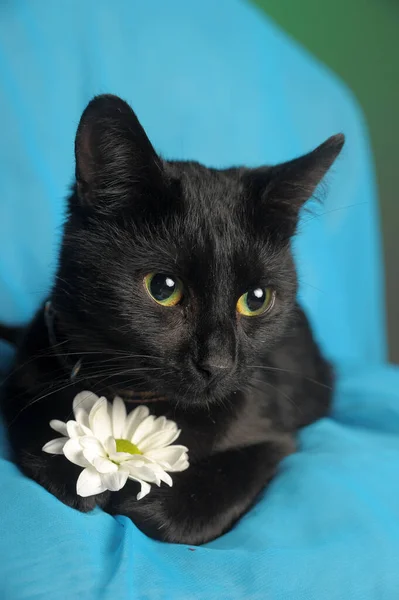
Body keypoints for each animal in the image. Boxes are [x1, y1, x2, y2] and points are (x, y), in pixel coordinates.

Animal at [0, 94, 344, 544]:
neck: (142, 401)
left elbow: (229, 478)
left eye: (256, 299)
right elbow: (35, 418)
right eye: (162, 288)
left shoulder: (274, 435)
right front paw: (68, 467)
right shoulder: (25, 370)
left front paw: (154, 506)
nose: (218, 364)